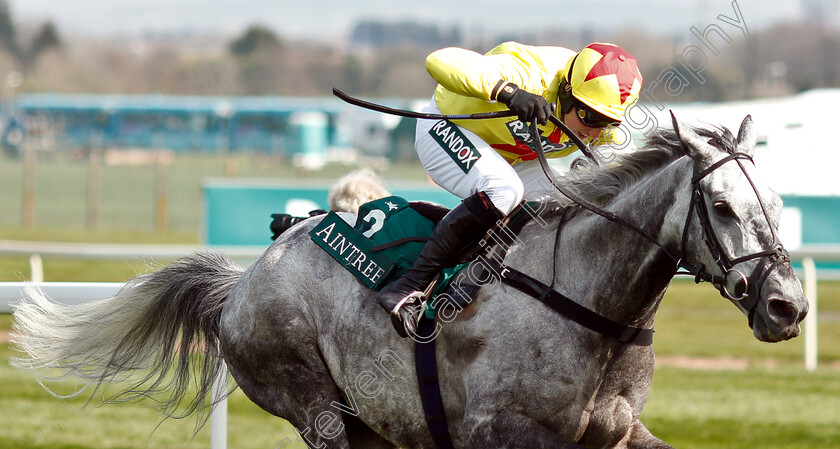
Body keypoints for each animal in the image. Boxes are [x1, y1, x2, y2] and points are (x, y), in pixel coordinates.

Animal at [8, 114, 808, 446]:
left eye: (776, 204)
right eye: (722, 206)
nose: (787, 306)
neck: (589, 303)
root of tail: (241, 282)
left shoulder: (615, 432)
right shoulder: (498, 431)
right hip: (318, 409)